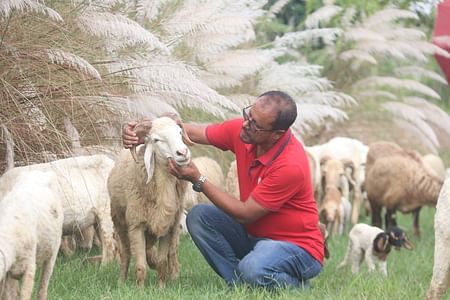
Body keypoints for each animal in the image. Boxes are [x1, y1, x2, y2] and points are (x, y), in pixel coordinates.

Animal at [0, 170, 63, 298]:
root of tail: (41, 172)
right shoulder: (8, 273)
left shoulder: (29, 267)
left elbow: (25, 295)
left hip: (54, 250)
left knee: (43, 286)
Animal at [108, 116, 193, 288]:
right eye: (156, 140)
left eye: (180, 132)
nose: (183, 153)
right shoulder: (136, 225)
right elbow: (140, 265)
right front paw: (140, 288)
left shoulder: (168, 227)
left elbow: (162, 262)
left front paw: (161, 287)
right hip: (120, 223)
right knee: (126, 254)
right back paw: (121, 282)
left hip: (175, 227)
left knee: (172, 254)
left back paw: (173, 276)